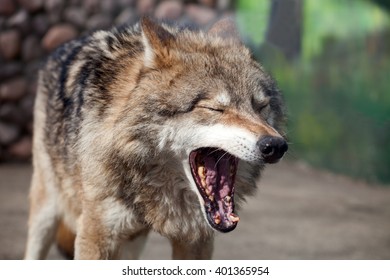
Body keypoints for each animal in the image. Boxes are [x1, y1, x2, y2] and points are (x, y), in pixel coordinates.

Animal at [23, 17, 286, 258]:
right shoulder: (95, 235)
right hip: (46, 211)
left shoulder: (196, 238)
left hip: (132, 243)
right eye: (215, 109)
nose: (275, 145)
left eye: (260, 106)